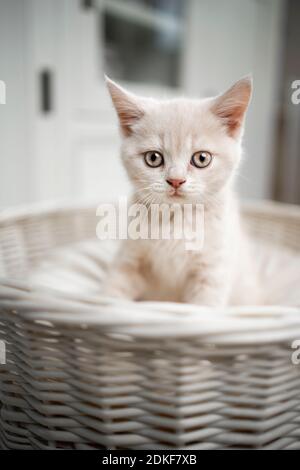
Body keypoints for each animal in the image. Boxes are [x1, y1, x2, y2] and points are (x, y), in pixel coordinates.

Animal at [101, 75, 260, 306]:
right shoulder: (129, 258)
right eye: (153, 158)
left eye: (202, 158)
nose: (175, 180)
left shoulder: (212, 272)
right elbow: (112, 289)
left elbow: (203, 307)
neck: (175, 221)